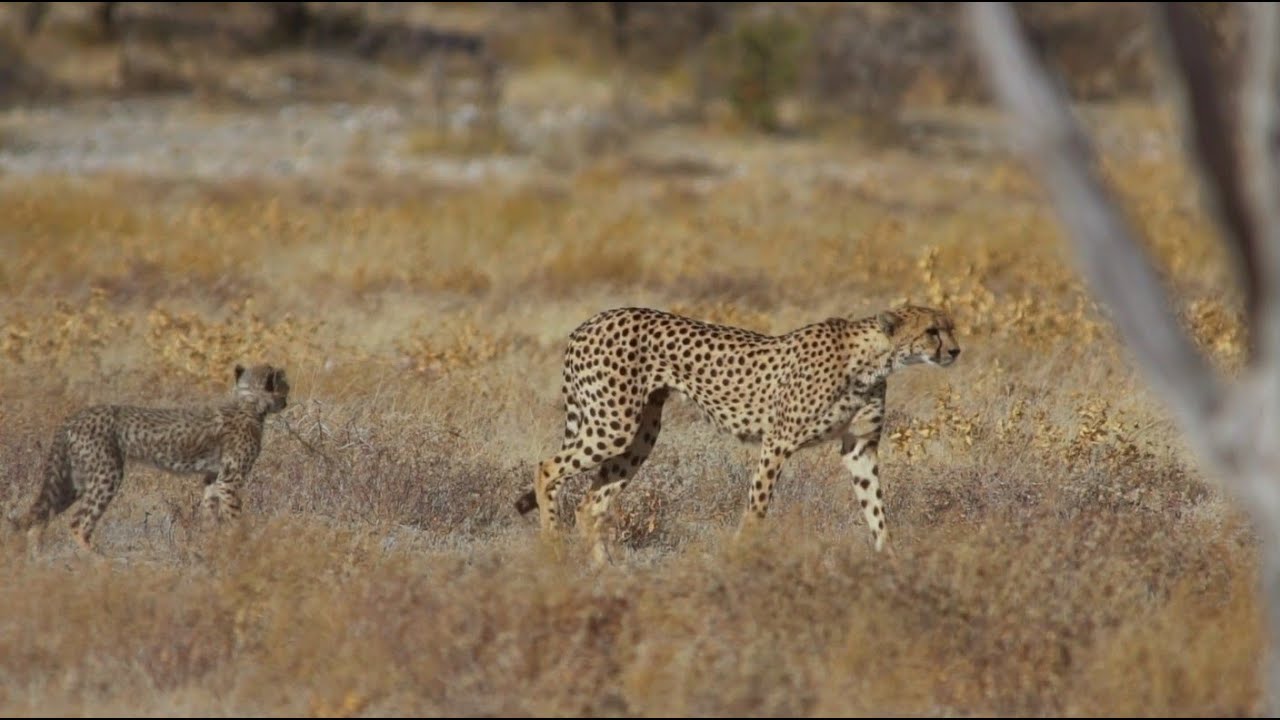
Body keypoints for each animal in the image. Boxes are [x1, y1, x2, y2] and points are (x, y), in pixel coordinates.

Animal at [9, 363, 290, 553]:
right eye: (284, 387)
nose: (287, 401)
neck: (249, 404)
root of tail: (77, 416)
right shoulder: (230, 480)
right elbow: (234, 518)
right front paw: (241, 545)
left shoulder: (213, 478)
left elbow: (211, 514)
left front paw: (212, 543)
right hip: (107, 474)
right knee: (79, 523)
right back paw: (100, 562)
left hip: (74, 479)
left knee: (41, 517)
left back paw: (37, 561)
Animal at [514, 304, 961, 565]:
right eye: (932, 331)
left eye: (951, 328)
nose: (956, 351)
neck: (874, 358)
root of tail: (587, 323)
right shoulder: (778, 442)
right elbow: (757, 507)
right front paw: (743, 556)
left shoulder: (860, 448)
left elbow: (876, 510)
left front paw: (891, 561)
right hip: (613, 424)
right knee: (546, 468)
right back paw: (553, 547)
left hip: (639, 434)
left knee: (591, 503)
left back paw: (606, 571)